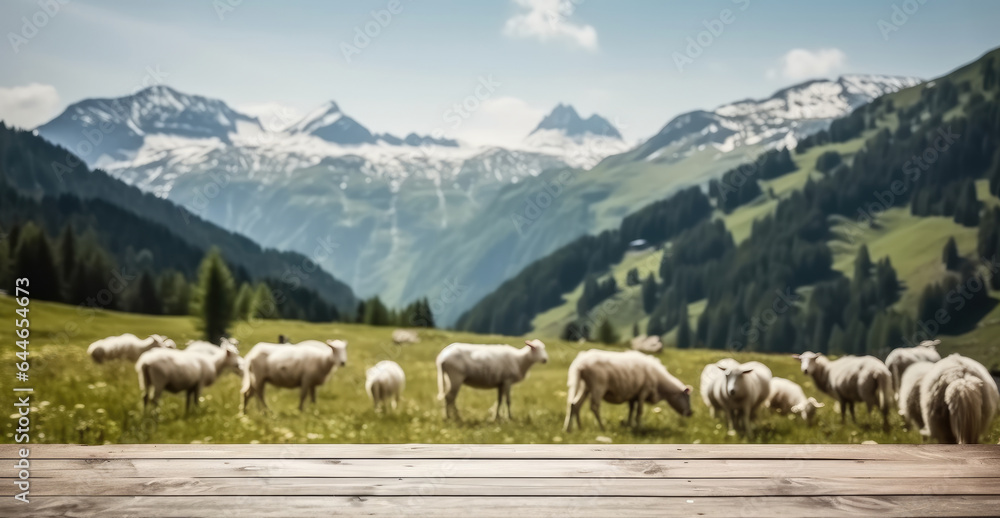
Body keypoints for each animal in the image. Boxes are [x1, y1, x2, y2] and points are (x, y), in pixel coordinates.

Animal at [564, 350, 696, 434]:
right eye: (687, 397)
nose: (690, 413)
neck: (660, 385)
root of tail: (580, 364)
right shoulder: (644, 391)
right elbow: (639, 412)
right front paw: (639, 428)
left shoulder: (633, 395)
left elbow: (631, 411)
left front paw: (629, 425)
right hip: (598, 386)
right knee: (594, 407)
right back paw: (602, 428)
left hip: (584, 386)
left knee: (574, 404)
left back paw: (573, 429)